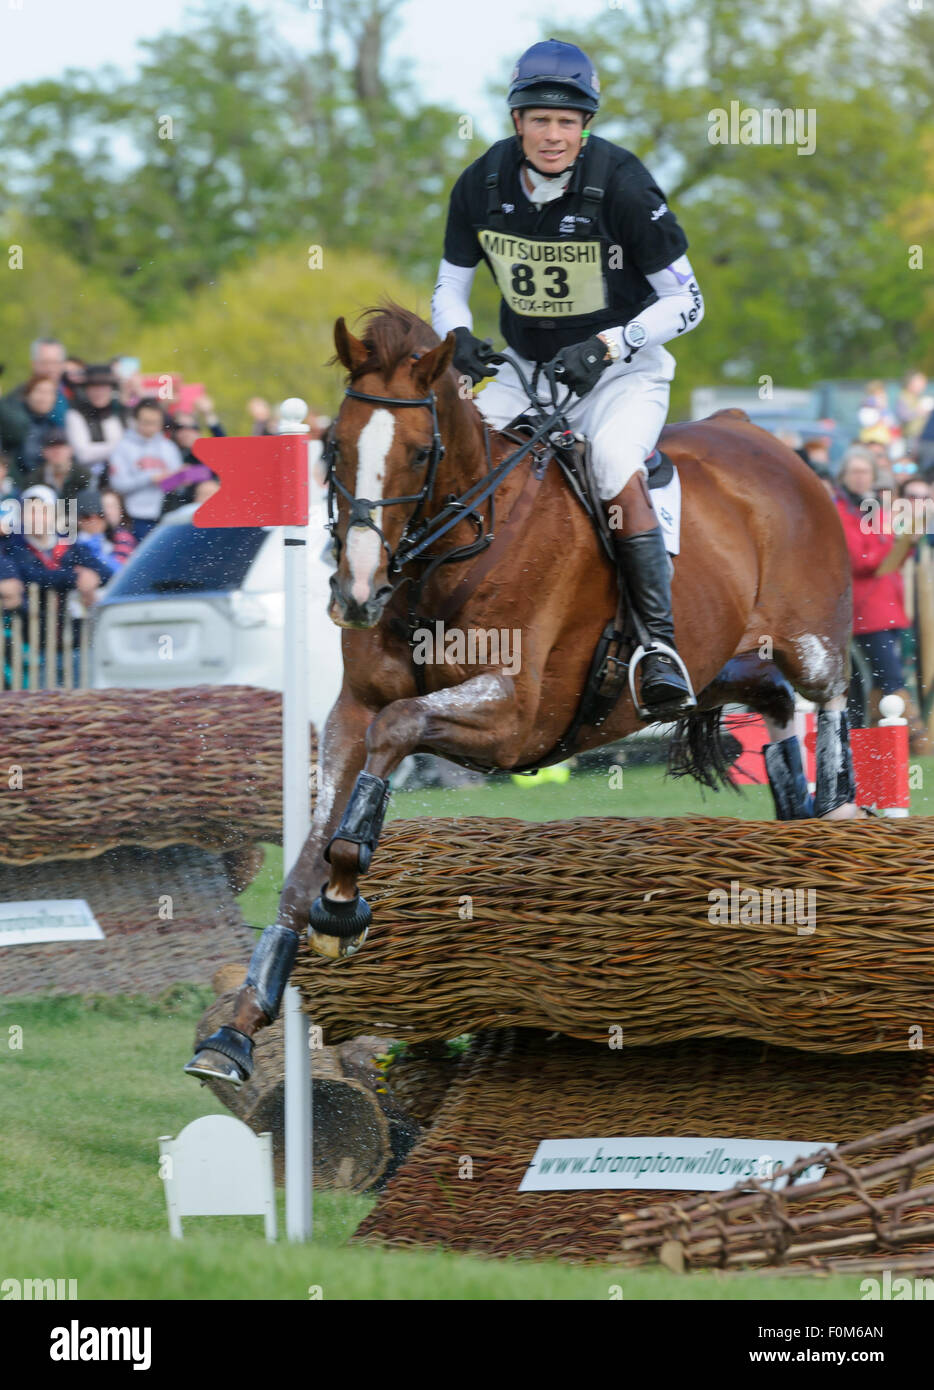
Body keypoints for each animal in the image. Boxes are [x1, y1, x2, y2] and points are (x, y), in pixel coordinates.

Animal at [187, 304, 861, 1084]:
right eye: (333, 446)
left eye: (420, 453)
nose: (355, 594)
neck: (447, 556)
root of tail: (755, 432)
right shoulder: (350, 710)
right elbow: (308, 853)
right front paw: (239, 1025)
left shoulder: (513, 720)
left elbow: (399, 728)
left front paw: (344, 897)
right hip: (712, 666)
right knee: (775, 700)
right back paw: (797, 818)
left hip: (808, 636)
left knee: (830, 692)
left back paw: (841, 809)